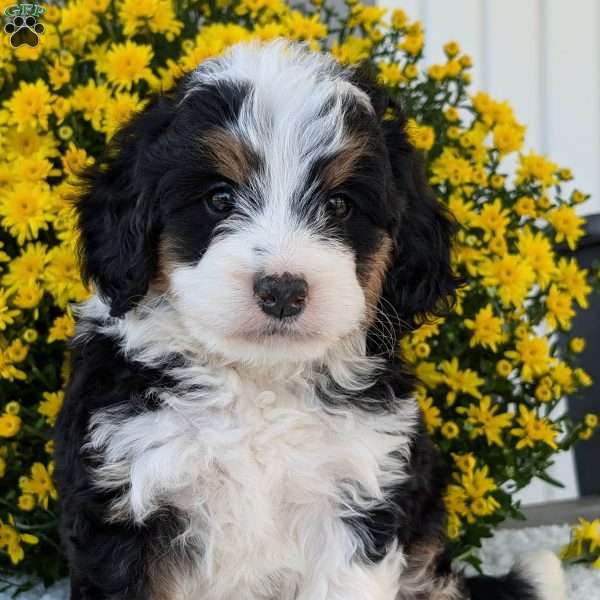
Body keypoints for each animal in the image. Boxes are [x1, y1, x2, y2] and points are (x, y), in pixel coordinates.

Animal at [54, 41, 564, 600]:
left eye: (339, 205)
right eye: (218, 198)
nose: (282, 290)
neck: (259, 382)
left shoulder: (355, 496)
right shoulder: (128, 498)